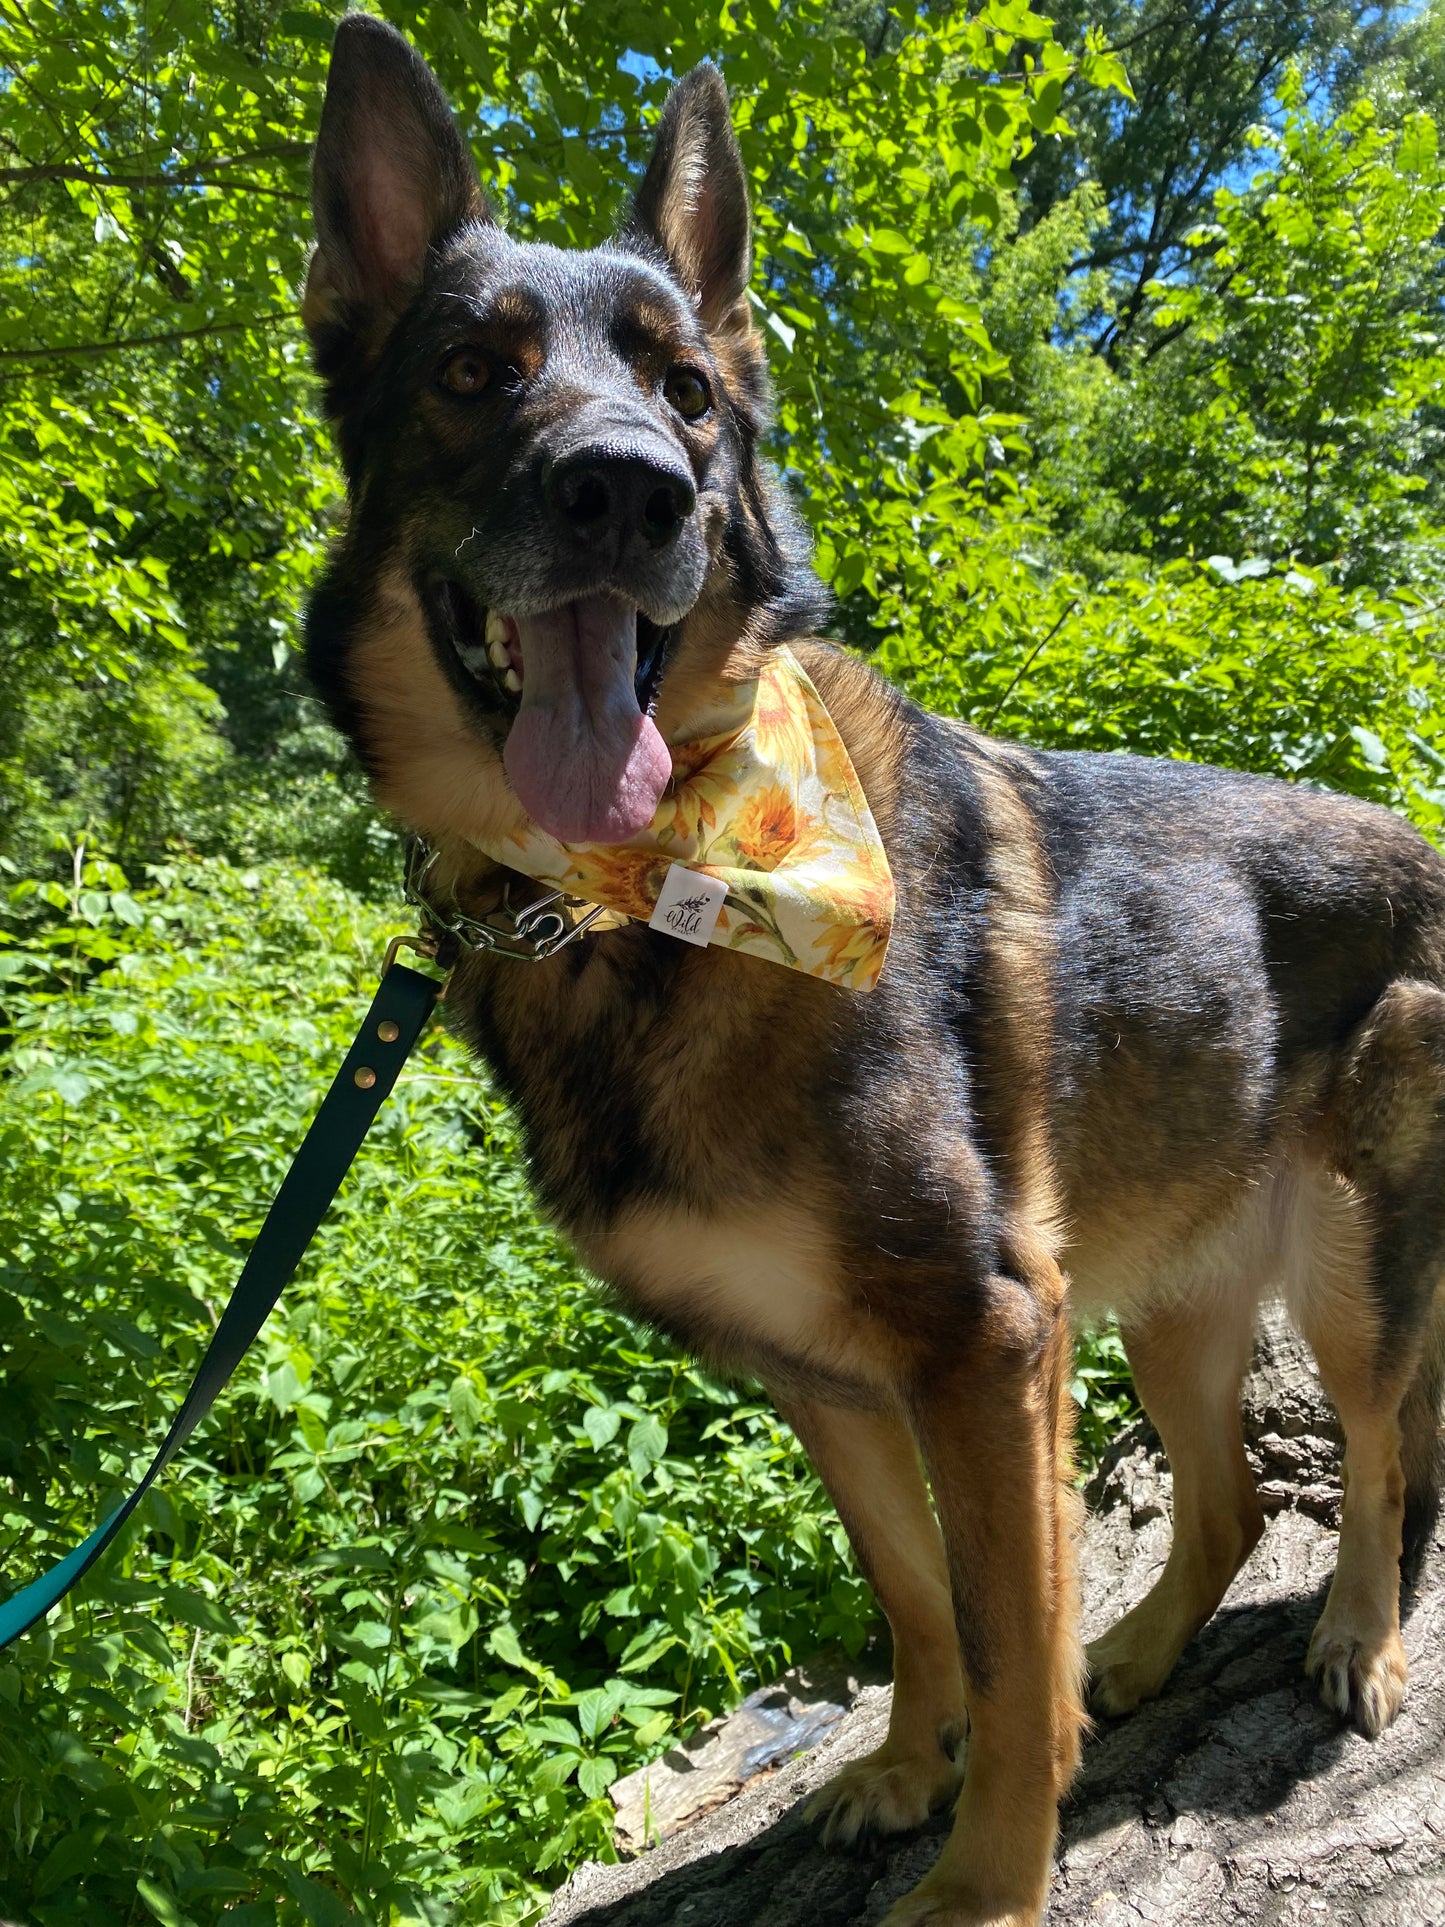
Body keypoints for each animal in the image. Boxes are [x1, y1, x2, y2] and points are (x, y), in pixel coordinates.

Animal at [306, 18, 1445, 1927]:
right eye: (471, 369)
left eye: (689, 393)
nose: (630, 491)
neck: (639, 896)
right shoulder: (831, 1378)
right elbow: (918, 1600)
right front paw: (911, 1765)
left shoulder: (982, 1344)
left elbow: (1008, 1638)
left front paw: (985, 1876)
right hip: (1167, 1295)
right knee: (1221, 1500)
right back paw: (1146, 1650)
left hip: (1352, 1270)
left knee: (1373, 1455)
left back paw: (1356, 1639)